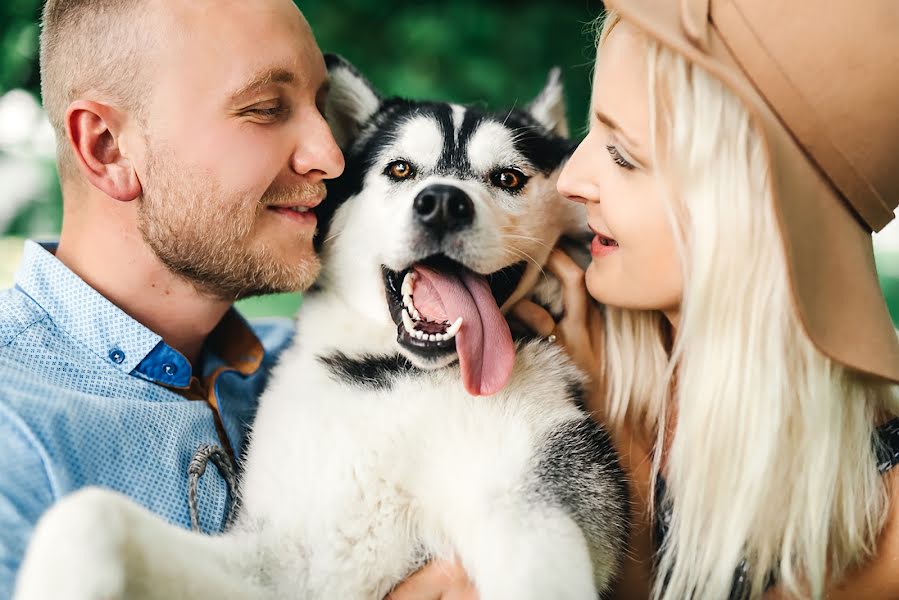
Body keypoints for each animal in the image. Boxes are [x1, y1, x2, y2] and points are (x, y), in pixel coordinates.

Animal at [12, 56, 624, 600]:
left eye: (508, 177)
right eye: (400, 169)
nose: (444, 203)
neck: (405, 375)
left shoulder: (534, 503)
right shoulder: (298, 558)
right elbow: (90, 511)